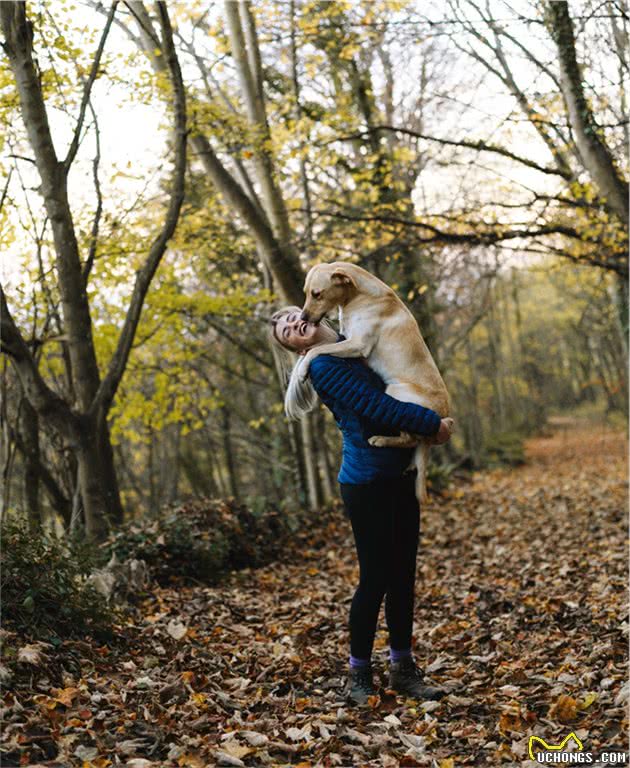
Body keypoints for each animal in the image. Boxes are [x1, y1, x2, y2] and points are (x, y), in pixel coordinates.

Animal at [302, 264, 454, 504]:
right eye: (306, 292)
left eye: (317, 294)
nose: (303, 318)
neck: (358, 296)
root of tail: (441, 415)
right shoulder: (348, 339)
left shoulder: (357, 344)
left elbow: (317, 350)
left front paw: (302, 368)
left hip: (395, 391)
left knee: (409, 438)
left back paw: (381, 440)